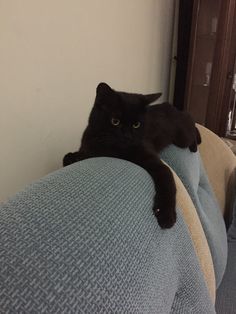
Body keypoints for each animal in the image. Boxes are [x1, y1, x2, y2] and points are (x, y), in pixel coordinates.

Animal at [63, 83, 201, 228]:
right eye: (115, 121)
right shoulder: (89, 144)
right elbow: (82, 154)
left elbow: (167, 182)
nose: (127, 136)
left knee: (192, 126)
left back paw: (194, 146)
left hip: (182, 139)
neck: (115, 150)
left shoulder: (156, 162)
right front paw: (72, 157)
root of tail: (171, 107)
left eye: (136, 125)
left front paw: (166, 214)